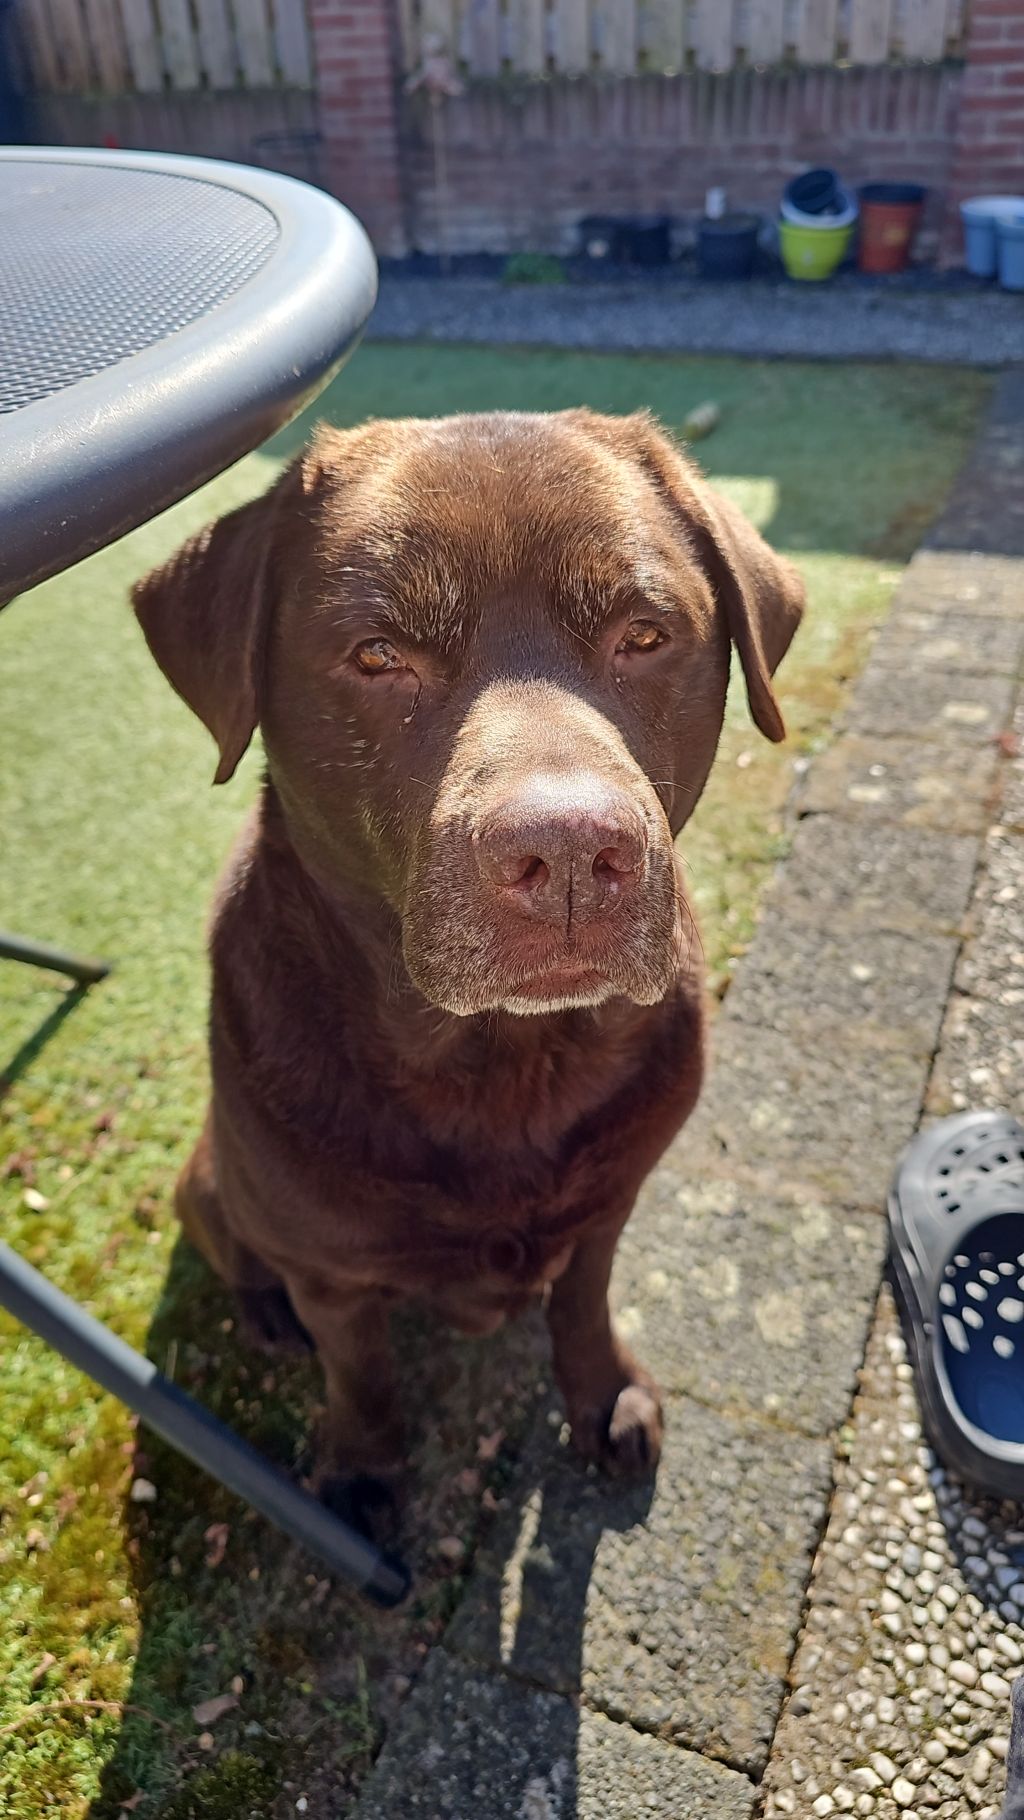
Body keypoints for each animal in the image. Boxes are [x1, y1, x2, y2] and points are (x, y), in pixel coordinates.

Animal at [133, 408, 803, 1533]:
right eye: (377, 653)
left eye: (645, 635)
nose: (570, 854)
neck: (503, 1067)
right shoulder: (336, 1276)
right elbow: (360, 1373)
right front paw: (359, 1479)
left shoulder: (610, 1200)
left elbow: (583, 1303)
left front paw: (602, 1393)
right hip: (211, 1176)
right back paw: (265, 1316)